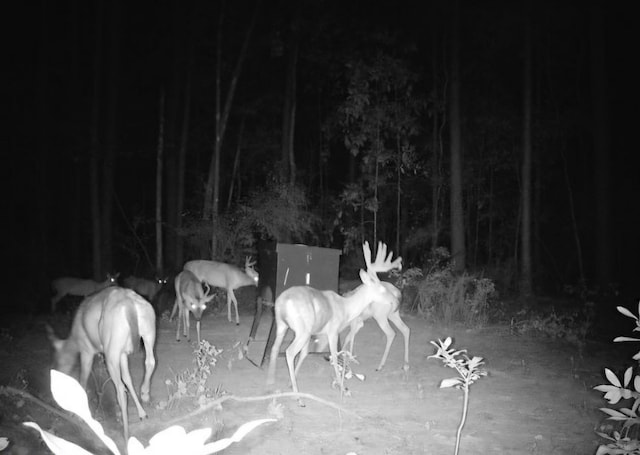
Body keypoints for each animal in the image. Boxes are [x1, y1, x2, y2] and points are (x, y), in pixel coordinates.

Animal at [45, 286, 156, 444]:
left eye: (58, 361)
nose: (57, 376)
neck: (73, 339)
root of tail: (129, 304)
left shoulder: (87, 350)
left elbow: (83, 378)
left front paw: (78, 415)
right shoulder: (123, 353)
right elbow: (128, 379)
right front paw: (142, 413)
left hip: (111, 349)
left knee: (120, 389)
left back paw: (126, 435)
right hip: (148, 332)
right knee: (150, 361)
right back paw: (145, 394)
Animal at [264, 240, 400, 404]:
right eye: (381, 289)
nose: (396, 301)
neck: (346, 308)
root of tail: (283, 302)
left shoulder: (316, 333)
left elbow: (305, 354)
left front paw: (291, 382)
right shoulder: (333, 331)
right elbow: (334, 356)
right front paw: (344, 388)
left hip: (282, 326)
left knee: (275, 349)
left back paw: (270, 383)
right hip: (302, 330)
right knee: (289, 352)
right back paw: (298, 398)